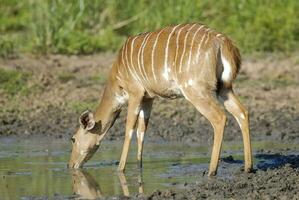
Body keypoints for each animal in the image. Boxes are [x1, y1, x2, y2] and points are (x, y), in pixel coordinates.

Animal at [68, 23, 253, 175]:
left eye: (73, 139)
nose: (70, 165)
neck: (116, 77)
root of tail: (222, 42)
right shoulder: (148, 98)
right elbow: (141, 131)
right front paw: (139, 166)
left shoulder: (135, 93)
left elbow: (129, 130)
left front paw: (120, 169)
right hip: (224, 88)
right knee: (242, 112)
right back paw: (248, 167)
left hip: (196, 90)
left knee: (220, 118)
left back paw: (211, 171)